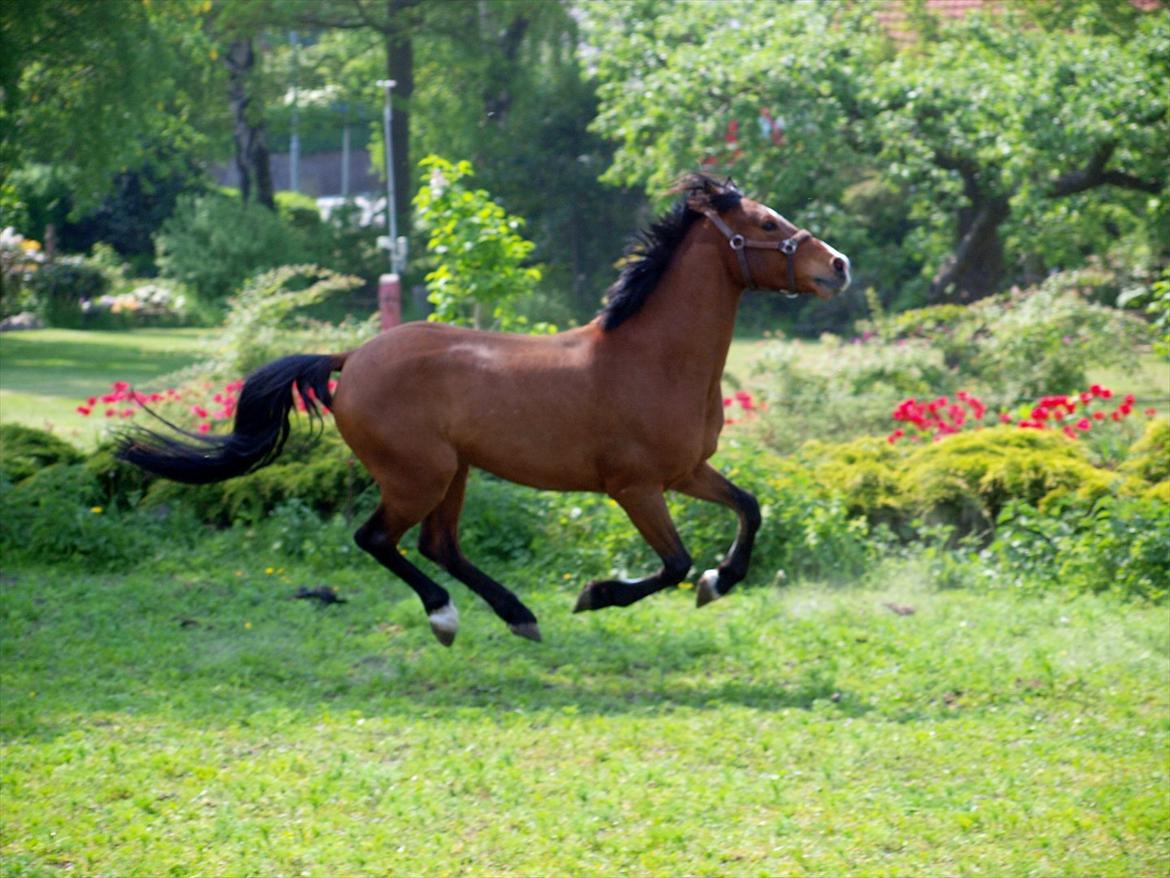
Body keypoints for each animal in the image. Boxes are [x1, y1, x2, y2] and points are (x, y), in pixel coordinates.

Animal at [118, 176, 851, 646]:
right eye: (766, 224)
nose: (839, 265)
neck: (652, 359)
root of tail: (353, 357)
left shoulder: (687, 472)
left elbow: (749, 509)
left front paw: (719, 582)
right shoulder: (635, 486)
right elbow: (672, 563)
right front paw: (597, 594)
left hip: (456, 472)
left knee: (438, 544)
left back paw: (517, 614)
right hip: (419, 475)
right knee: (378, 539)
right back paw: (449, 618)